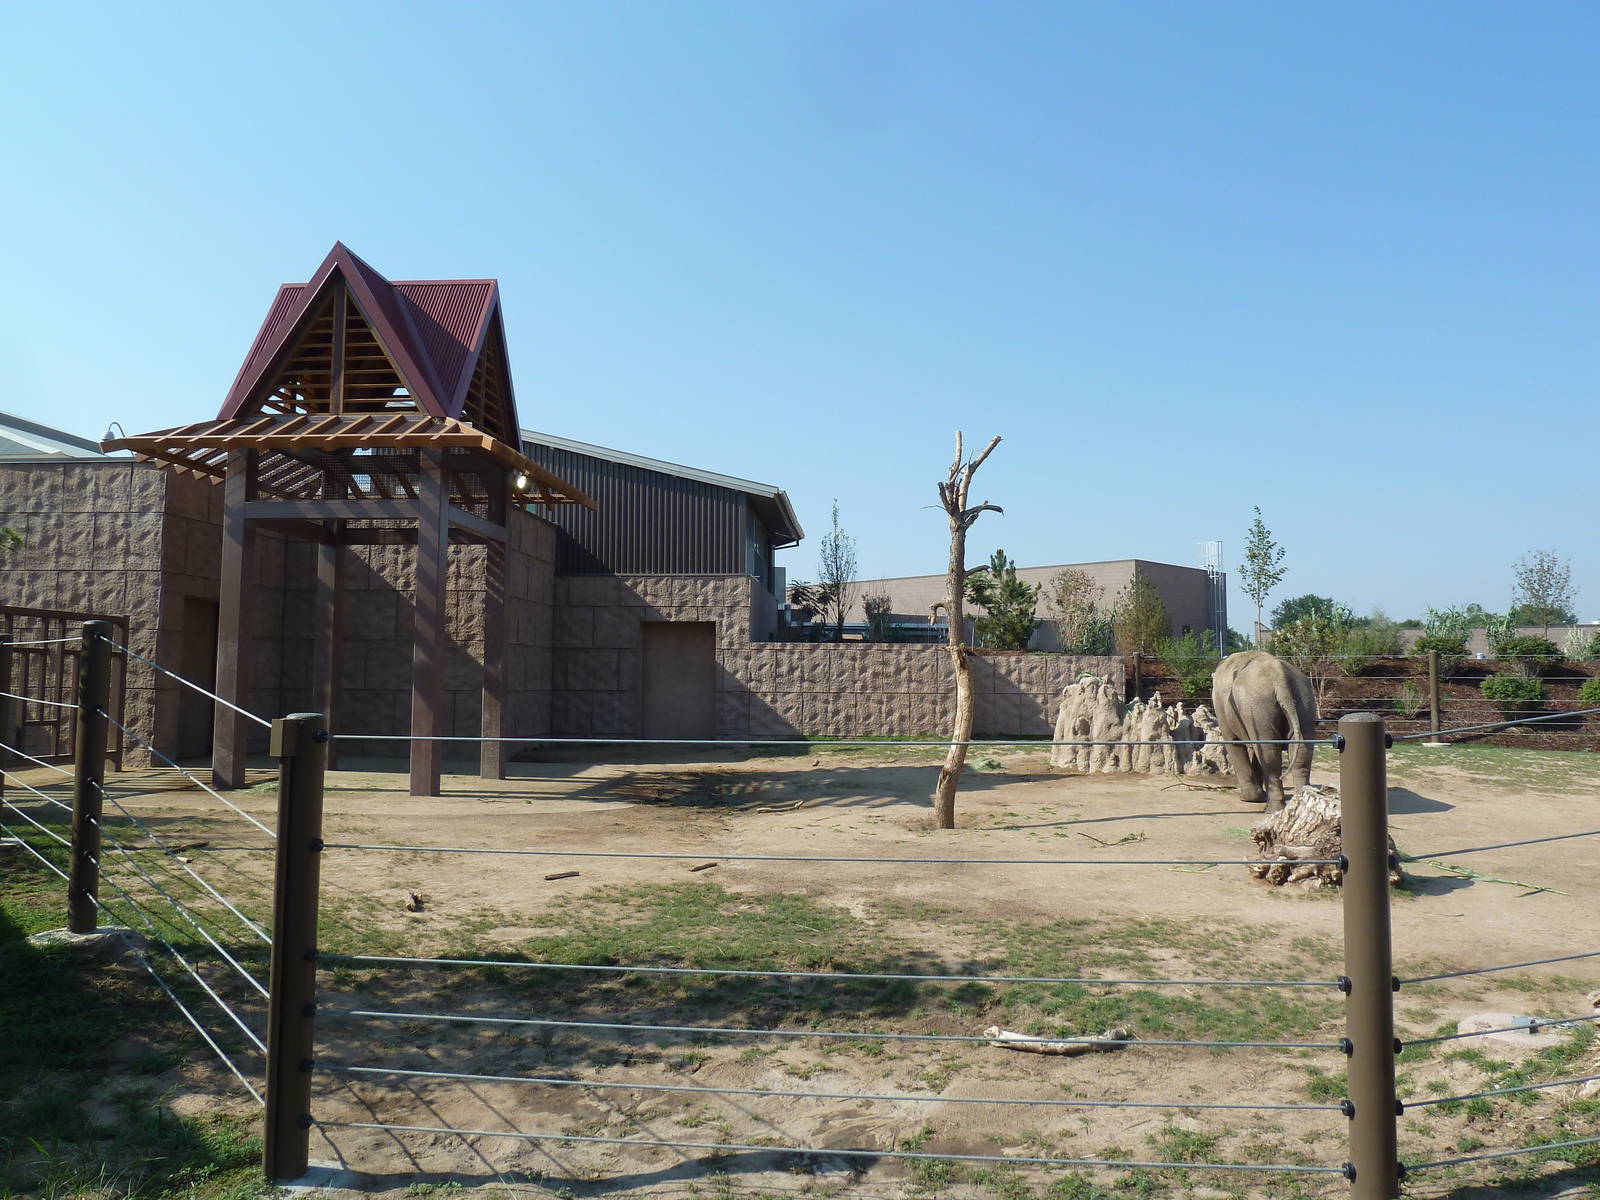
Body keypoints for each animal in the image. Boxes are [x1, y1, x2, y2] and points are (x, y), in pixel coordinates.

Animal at [1210, 651, 1318, 811]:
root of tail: (1280, 677)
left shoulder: (1221, 706)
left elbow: (1233, 742)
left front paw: (1248, 798)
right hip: (1305, 703)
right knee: (1301, 754)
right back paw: (1299, 803)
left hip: (1258, 705)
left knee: (1269, 754)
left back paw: (1272, 809)